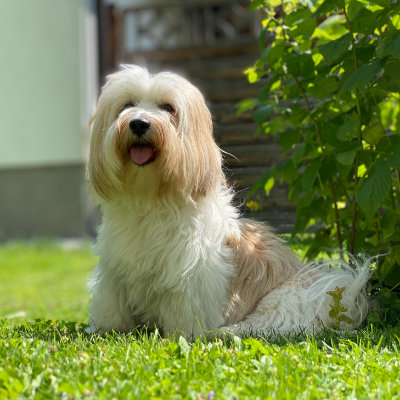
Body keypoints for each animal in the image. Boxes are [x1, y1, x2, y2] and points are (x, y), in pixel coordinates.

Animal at [86, 65, 370, 338]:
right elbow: (113, 306)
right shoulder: (114, 273)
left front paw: (182, 335)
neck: (151, 198)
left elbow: (185, 317)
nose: (138, 123)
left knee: (269, 326)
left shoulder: (192, 279)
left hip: (285, 301)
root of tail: (340, 298)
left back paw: (228, 332)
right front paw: (106, 330)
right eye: (127, 105)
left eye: (168, 107)